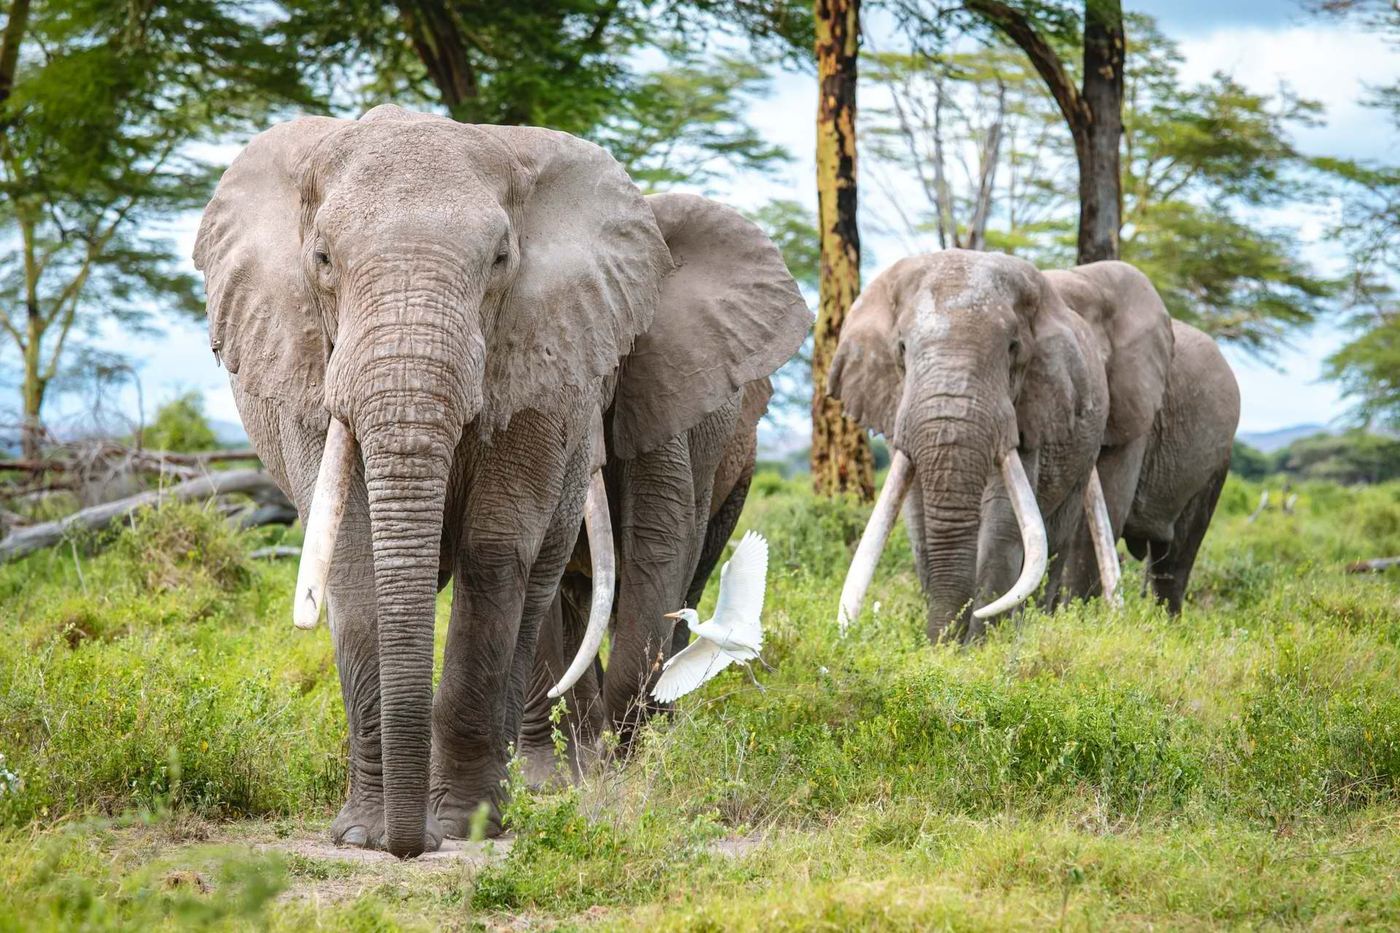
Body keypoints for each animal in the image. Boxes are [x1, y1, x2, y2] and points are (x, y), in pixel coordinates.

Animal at [193, 105, 682, 857]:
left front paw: (461, 828)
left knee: (533, 587)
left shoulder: (534, 364)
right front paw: (363, 836)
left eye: (501, 260)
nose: (408, 846)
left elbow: (494, 550)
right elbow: (354, 556)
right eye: (322, 259)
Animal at [519, 192, 810, 777]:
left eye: (610, 343)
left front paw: (626, 756)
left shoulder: (661, 387)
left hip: (738, 467)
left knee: (690, 571)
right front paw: (573, 765)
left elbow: (658, 543)